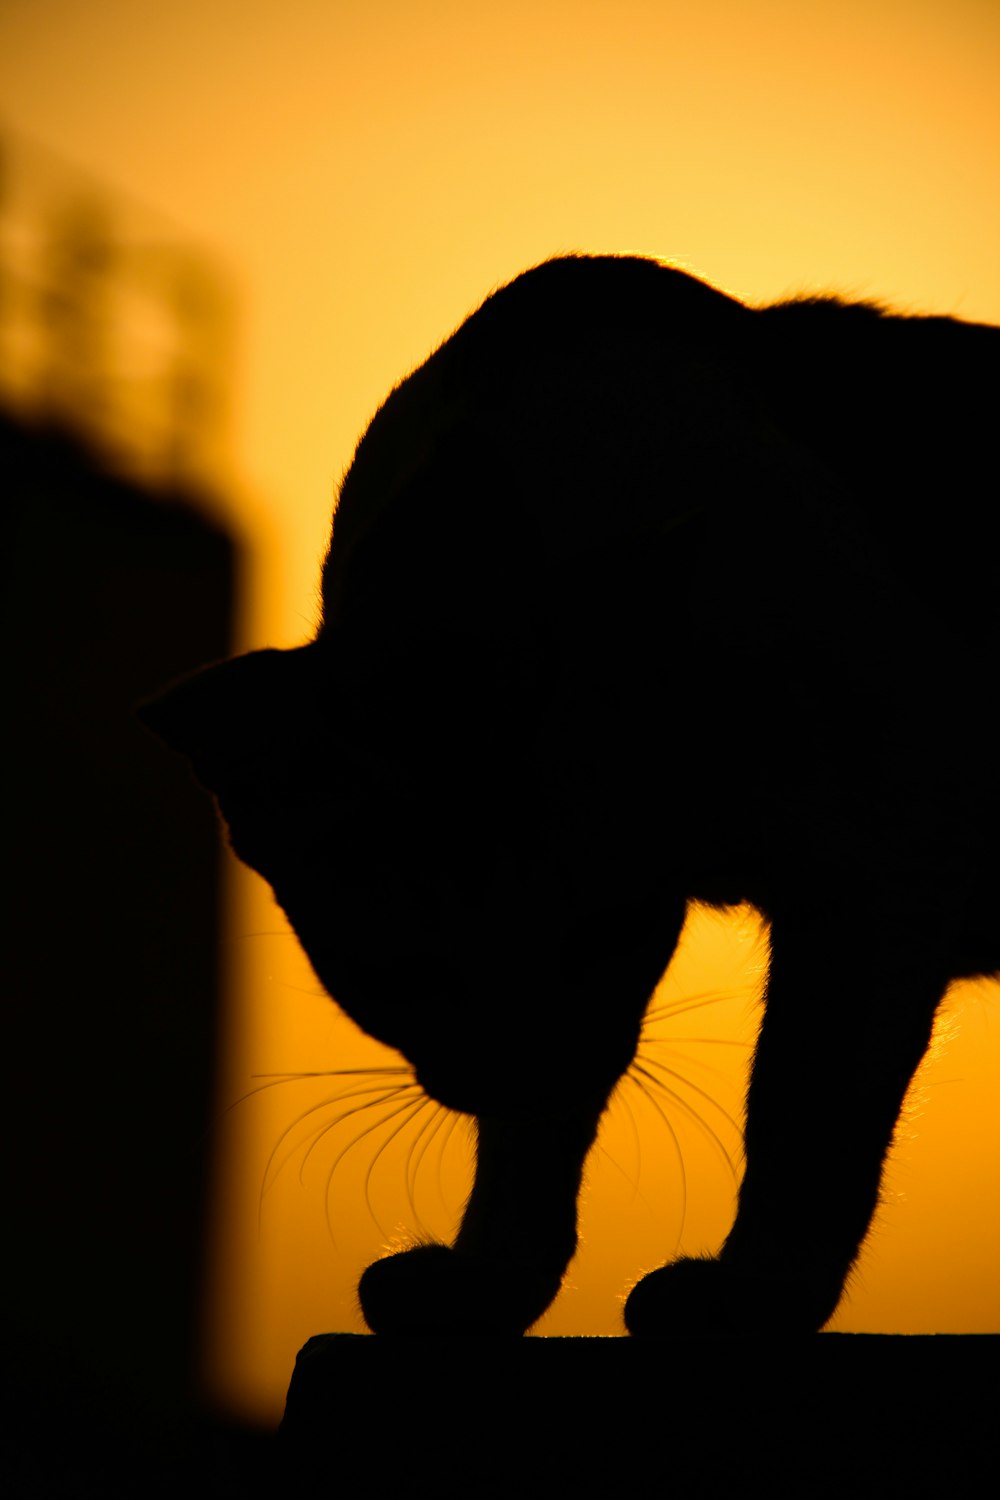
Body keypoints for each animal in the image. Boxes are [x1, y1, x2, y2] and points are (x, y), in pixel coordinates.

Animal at [142, 258, 1000, 1338]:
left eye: (591, 938)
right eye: (401, 973)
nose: (524, 1062)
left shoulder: (877, 856)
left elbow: (803, 1107)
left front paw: (754, 1295)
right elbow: (528, 1153)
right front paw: (488, 1282)